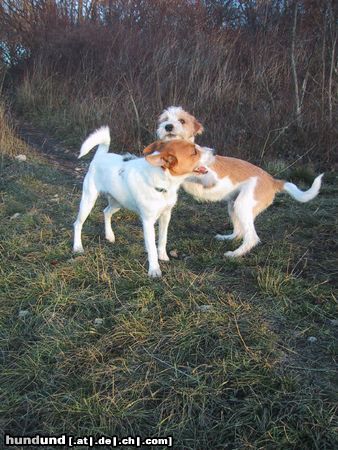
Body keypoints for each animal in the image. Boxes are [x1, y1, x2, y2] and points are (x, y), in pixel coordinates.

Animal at [73, 125, 214, 276]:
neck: (164, 183)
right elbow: (151, 247)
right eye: (194, 152)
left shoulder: (166, 216)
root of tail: (100, 156)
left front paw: (162, 256)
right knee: (78, 224)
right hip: (88, 201)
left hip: (118, 202)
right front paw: (154, 269)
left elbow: (163, 239)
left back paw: (109, 235)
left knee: (106, 212)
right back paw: (77, 247)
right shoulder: (148, 221)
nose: (214, 151)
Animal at [156, 106, 322, 258]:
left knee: (252, 238)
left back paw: (235, 254)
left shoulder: (208, 177)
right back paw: (227, 238)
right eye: (165, 119)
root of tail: (273, 180)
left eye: (182, 121)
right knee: (239, 232)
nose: (168, 126)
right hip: (233, 206)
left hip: (242, 206)